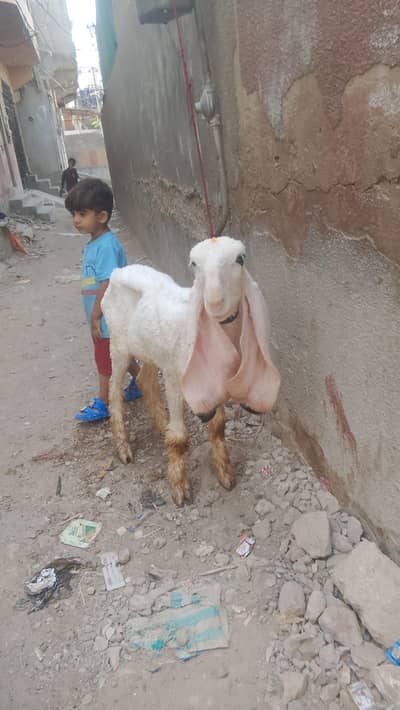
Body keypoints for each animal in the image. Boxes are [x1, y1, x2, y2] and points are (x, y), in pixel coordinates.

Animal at [101, 237, 280, 506]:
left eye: (240, 259)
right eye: (194, 264)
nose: (214, 302)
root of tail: (117, 272)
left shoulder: (214, 379)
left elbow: (217, 426)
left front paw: (225, 472)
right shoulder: (177, 378)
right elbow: (179, 436)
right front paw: (179, 488)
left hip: (153, 349)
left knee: (145, 380)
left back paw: (161, 425)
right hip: (119, 344)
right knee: (114, 390)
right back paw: (123, 446)